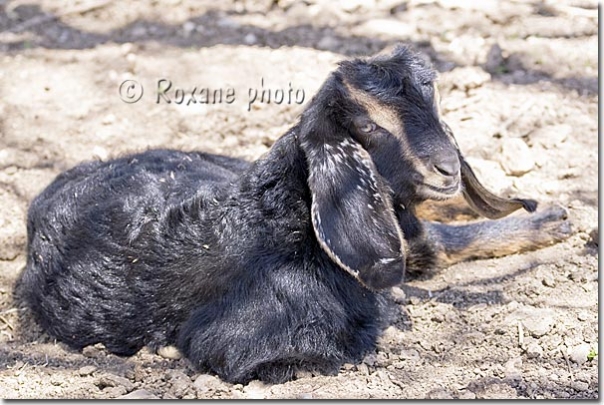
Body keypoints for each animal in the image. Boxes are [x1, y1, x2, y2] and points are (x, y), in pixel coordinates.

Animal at [15, 45, 572, 384]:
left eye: (434, 101)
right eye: (368, 127)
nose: (448, 167)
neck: (276, 218)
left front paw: (545, 217)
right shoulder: (254, 352)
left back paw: (552, 217)